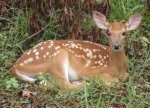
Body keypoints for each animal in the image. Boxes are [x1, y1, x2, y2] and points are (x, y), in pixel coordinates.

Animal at [11, 11, 142, 90]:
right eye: (108, 32)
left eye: (124, 33)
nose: (116, 46)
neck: (114, 66)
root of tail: (16, 66)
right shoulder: (90, 70)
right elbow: (114, 81)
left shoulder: (125, 73)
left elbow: (125, 77)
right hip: (57, 58)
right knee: (63, 84)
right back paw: (83, 84)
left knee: (46, 83)